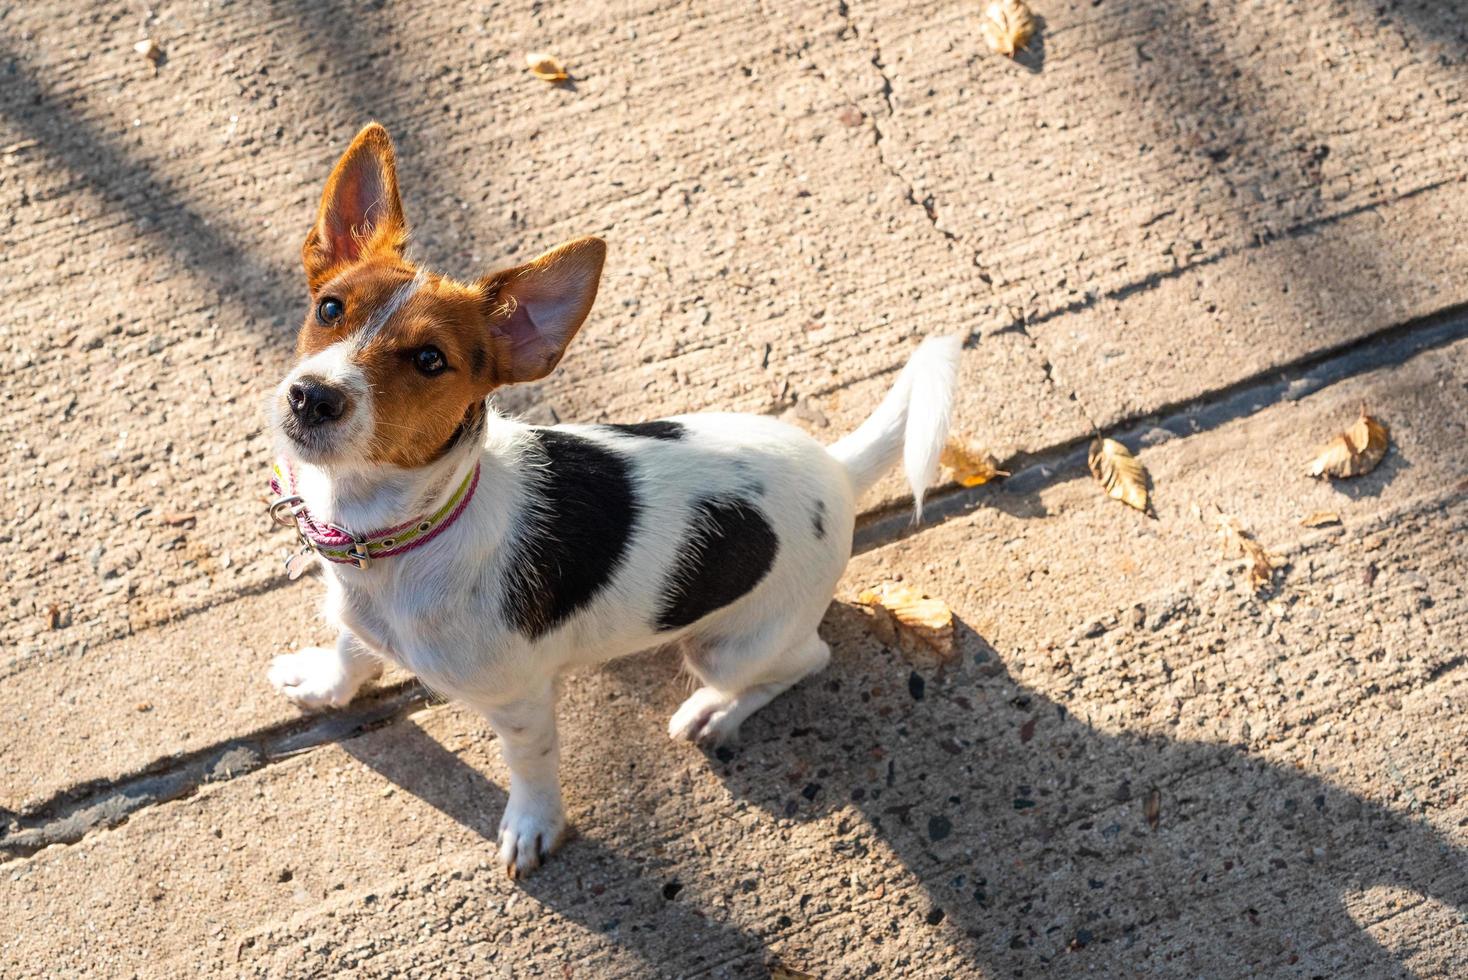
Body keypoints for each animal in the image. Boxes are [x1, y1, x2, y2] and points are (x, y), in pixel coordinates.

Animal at [267, 124, 963, 880]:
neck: (389, 533)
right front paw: (326, 683)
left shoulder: (522, 703)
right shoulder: (357, 611)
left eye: (430, 361)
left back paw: (716, 712)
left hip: (731, 646)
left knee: (807, 660)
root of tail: (836, 468)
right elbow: (352, 648)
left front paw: (534, 826)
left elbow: (532, 768)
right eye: (330, 309)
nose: (311, 396)